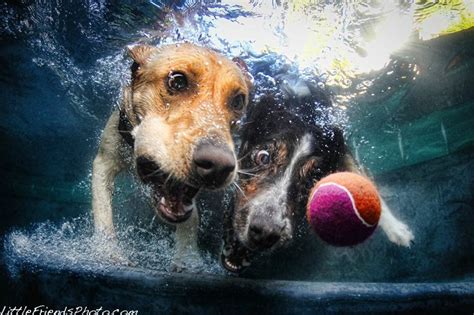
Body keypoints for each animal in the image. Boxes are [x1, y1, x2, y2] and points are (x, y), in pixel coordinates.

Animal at [93, 43, 254, 268]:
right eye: (177, 81)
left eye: (238, 101)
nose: (219, 166)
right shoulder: (104, 161)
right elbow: (102, 210)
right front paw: (107, 251)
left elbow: (191, 221)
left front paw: (188, 258)